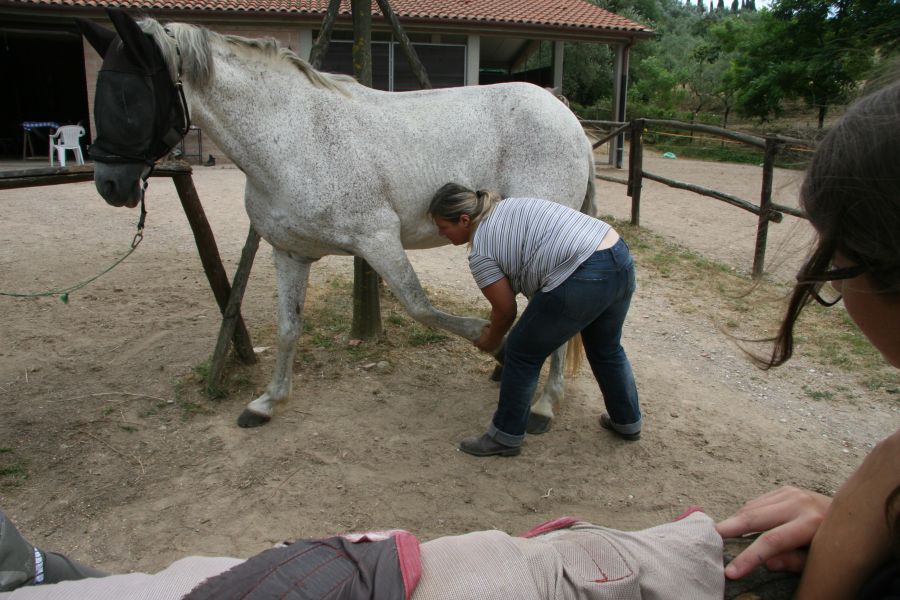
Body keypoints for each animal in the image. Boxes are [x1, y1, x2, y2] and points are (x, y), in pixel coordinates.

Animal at [79, 9, 596, 432]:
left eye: (128, 97)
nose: (109, 185)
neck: (294, 137)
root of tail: (566, 117)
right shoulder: (289, 253)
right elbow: (288, 328)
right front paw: (267, 403)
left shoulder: (378, 238)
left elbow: (421, 306)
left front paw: (494, 343)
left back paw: (543, 405)